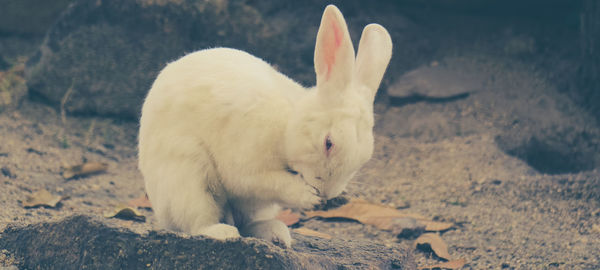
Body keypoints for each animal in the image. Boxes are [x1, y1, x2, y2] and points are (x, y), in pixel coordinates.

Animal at [140, 4, 394, 248]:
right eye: (328, 143)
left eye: (363, 160)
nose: (326, 195)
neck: (287, 128)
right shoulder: (246, 166)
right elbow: (269, 183)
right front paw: (308, 197)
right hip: (190, 178)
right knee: (198, 222)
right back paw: (223, 232)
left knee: (247, 223)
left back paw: (276, 234)